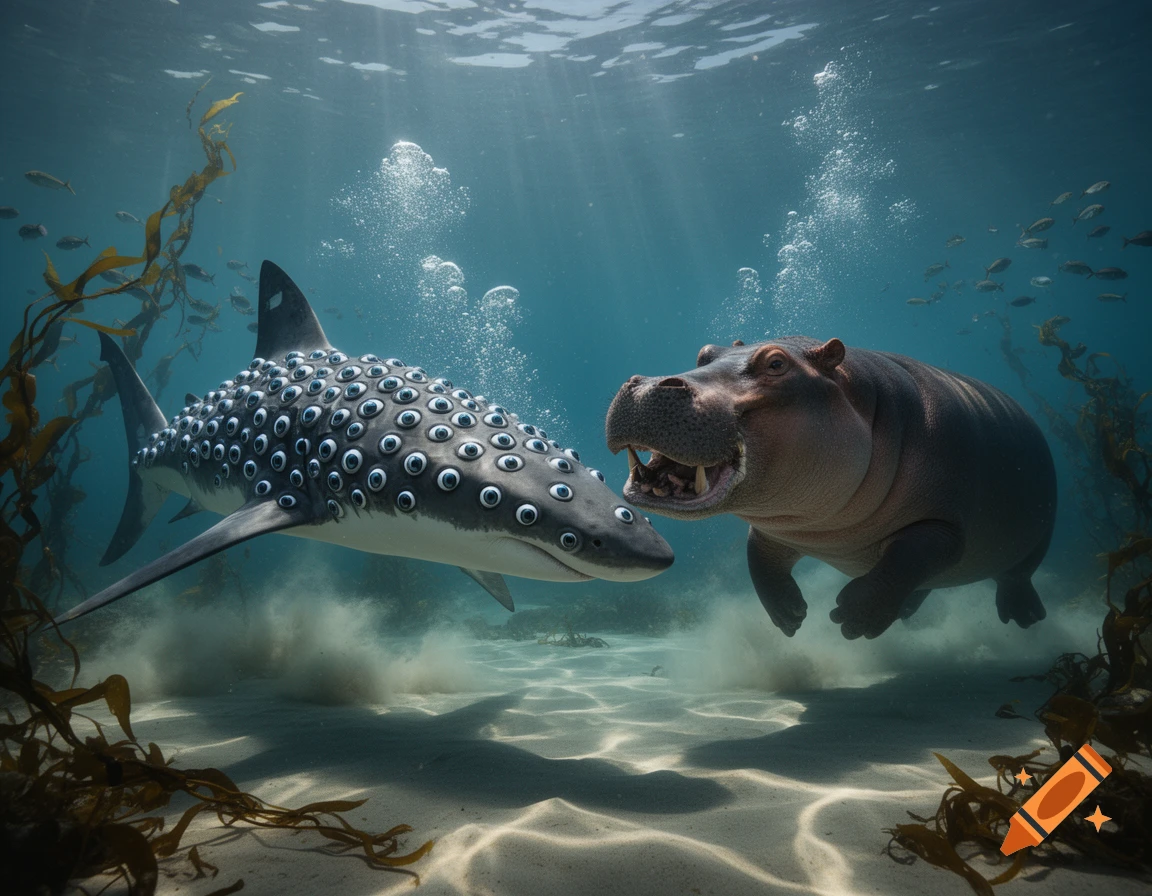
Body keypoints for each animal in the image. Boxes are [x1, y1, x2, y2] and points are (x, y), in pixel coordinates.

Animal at [605, 337, 1057, 639]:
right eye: (704, 352)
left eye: (776, 363)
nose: (648, 383)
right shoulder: (775, 529)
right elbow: (759, 562)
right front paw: (789, 616)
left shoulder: (944, 527)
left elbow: (906, 559)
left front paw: (852, 619)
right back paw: (908, 612)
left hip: (1041, 530)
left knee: (1017, 575)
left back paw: (1024, 616)